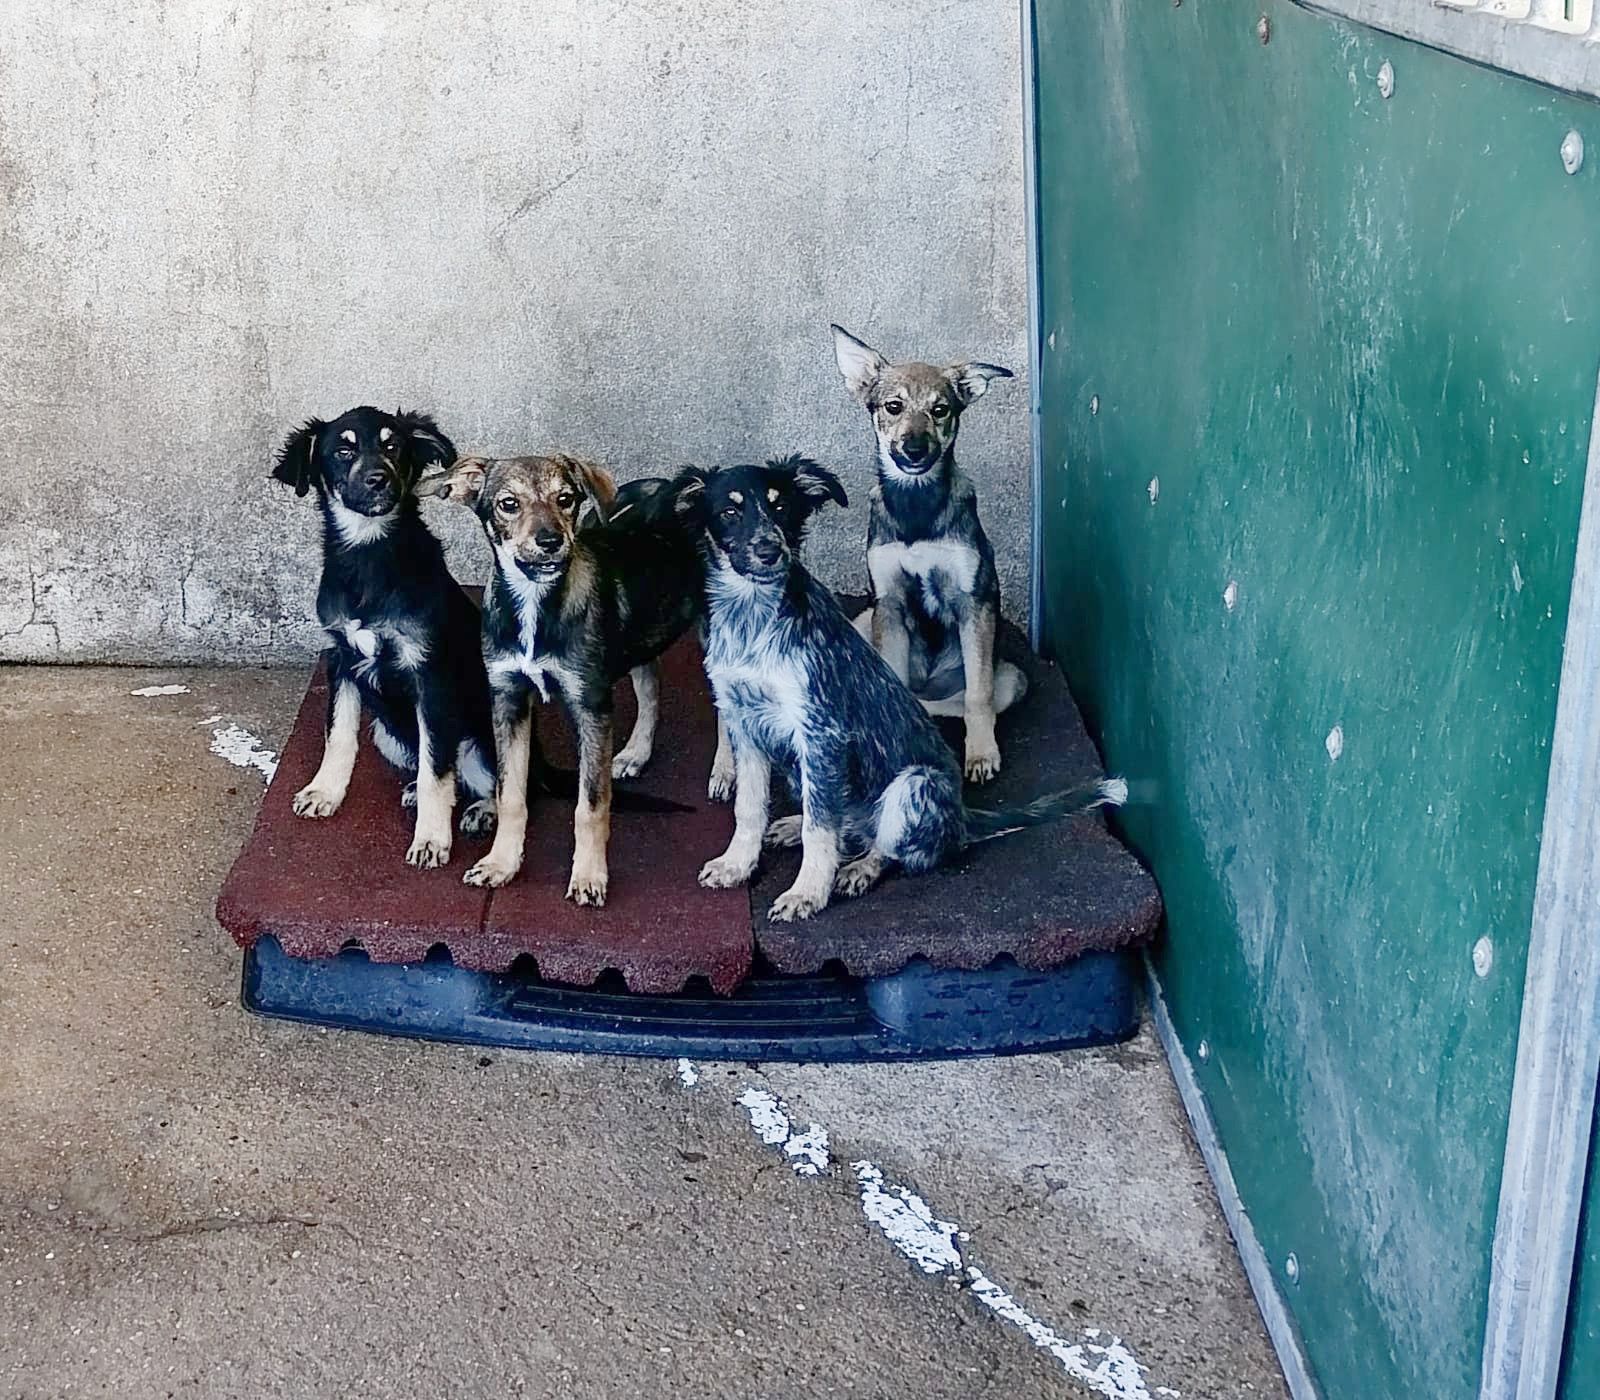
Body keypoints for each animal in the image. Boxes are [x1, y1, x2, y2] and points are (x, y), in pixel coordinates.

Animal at [268, 404, 496, 864]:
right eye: (343, 450)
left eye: (394, 447)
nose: (379, 479)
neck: (368, 554)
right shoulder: (341, 658)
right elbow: (338, 733)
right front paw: (324, 791)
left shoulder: (430, 676)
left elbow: (436, 769)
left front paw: (431, 839)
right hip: (385, 734)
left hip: (480, 738)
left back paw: (481, 811)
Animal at [432, 454, 700, 902]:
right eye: (508, 504)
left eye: (565, 498)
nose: (550, 541)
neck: (534, 605)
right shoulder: (508, 699)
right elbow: (511, 793)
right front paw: (500, 864)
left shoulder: (591, 708)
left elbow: (590, 804)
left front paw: (589, 877)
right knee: (650, 685)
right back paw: (636, 753)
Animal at [675, 454, 1126, 928]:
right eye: (730, 511)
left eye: (781, 508)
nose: (769, 551)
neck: (752, 616)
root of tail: (963, 817)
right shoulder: (745, 725)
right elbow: (750, 808)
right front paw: (736, 865)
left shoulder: (820, 733)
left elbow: (821, 829)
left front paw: (806, 893)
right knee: (843, 822)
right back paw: (793, 827)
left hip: (913, 785)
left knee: (888, 846)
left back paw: (857, 869)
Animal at [832, 328, 1030, 787]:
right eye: (893, 406)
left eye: (941, 410)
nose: (915, 449)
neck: (916, 506)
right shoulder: (887, 602)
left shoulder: (973, 601)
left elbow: (978, 695)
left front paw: (981, 755)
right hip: (863, 622)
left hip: (1012, 678)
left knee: (957, 702)